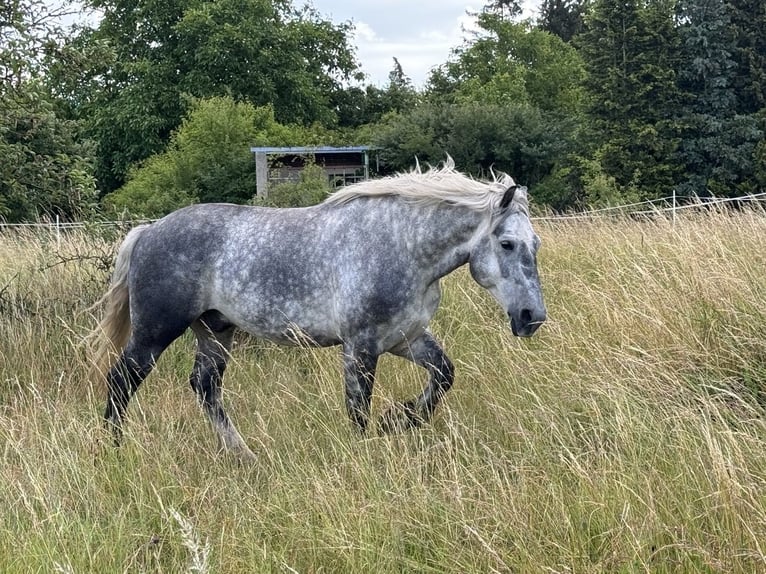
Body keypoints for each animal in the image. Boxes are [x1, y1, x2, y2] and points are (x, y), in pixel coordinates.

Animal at [91, 160, 544, 462]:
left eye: (535, 243)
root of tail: (149, 231)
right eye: (507, 243)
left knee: (205, 388)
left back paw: (245, 456)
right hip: (156, 331)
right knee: (121, 380)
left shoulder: (406, 338)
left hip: (215, 330)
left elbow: (444, 376)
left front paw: (399, 419)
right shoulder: (360, 346)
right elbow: (358, 409)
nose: (531, 317)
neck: (400, 247)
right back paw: (114, 452)